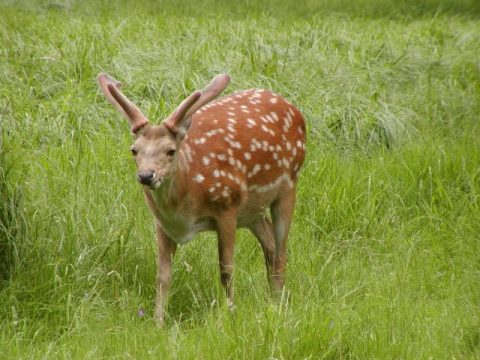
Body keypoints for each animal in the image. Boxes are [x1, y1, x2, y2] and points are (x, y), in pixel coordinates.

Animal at [98, 71, 308, 324]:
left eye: (170, 150)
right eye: (134, 150)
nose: (146, 175)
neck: (183, 206)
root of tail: (294, 109)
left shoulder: (227, 206)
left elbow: (226, 268)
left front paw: (229, 313)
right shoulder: (162, 223)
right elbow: (163, 275)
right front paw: (158, 322)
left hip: (288, 185)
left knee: (281, 251)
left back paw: (276, 303)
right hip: (252, 211)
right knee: (269, 243)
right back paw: (271, 298)